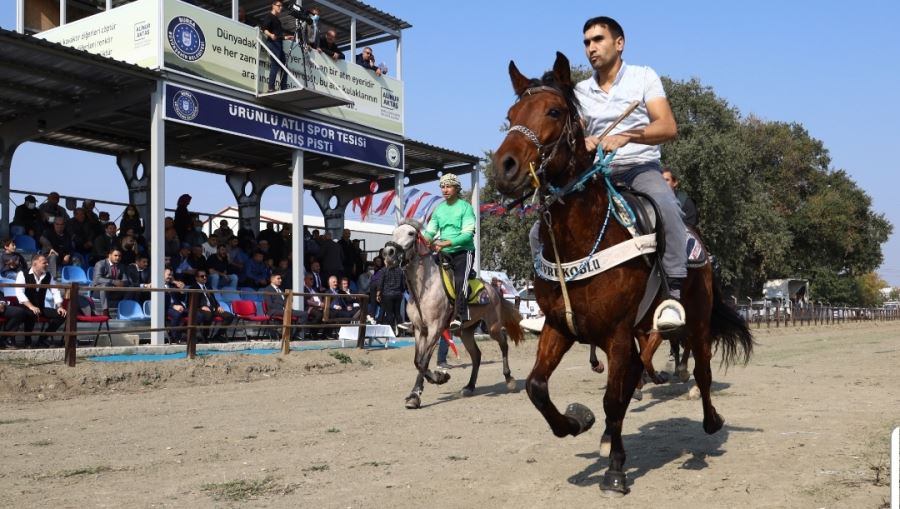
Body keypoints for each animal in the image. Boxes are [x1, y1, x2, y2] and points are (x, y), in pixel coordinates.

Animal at [382, 219, 524, 408]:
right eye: (393, 232)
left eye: (411, 233)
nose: (388, 253)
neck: (424, 290)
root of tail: (492, 289)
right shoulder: (420, 330)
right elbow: (417, 361)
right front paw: (420, 390)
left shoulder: (435, 328)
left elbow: (423, 361)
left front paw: (434, 381)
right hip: (465, 332)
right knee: (477, 356)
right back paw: (469, 387)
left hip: (492, 326)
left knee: (504, 343)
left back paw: (509, 379)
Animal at [492, 53, 752, 494]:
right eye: (510, 116)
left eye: (554, 111)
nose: (504, 167)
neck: (579, 242)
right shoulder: (560, 326)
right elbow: (537, 387)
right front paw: (577, 422)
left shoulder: (615, 331)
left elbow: (613, 399)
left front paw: (615, 470)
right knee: (635, 377)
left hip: (696, 319)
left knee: (700, 370)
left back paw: (711, 421)